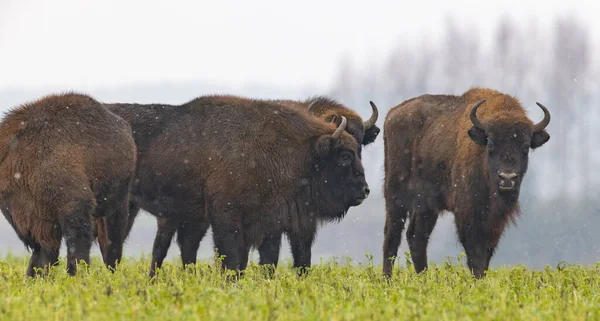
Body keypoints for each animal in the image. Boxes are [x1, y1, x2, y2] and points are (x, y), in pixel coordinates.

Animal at [0, 92, 136, 276]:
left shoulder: (73, 203)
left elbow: (76, 246)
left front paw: (76, 274)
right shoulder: (31, 218)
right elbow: (42, 253)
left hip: (115, 203)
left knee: (112, 241)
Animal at [382, 87, 552, 278]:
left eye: (525, 147)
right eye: (491, 145)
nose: (507, 178)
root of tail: (392, 114)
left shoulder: (494, 222)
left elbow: (486, 253)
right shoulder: (467, 213)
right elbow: (475, 253)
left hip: (426, 206)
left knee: (416, 237)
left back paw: (423, 278)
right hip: (395, 195)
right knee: (392, 236)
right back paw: (387, 279)